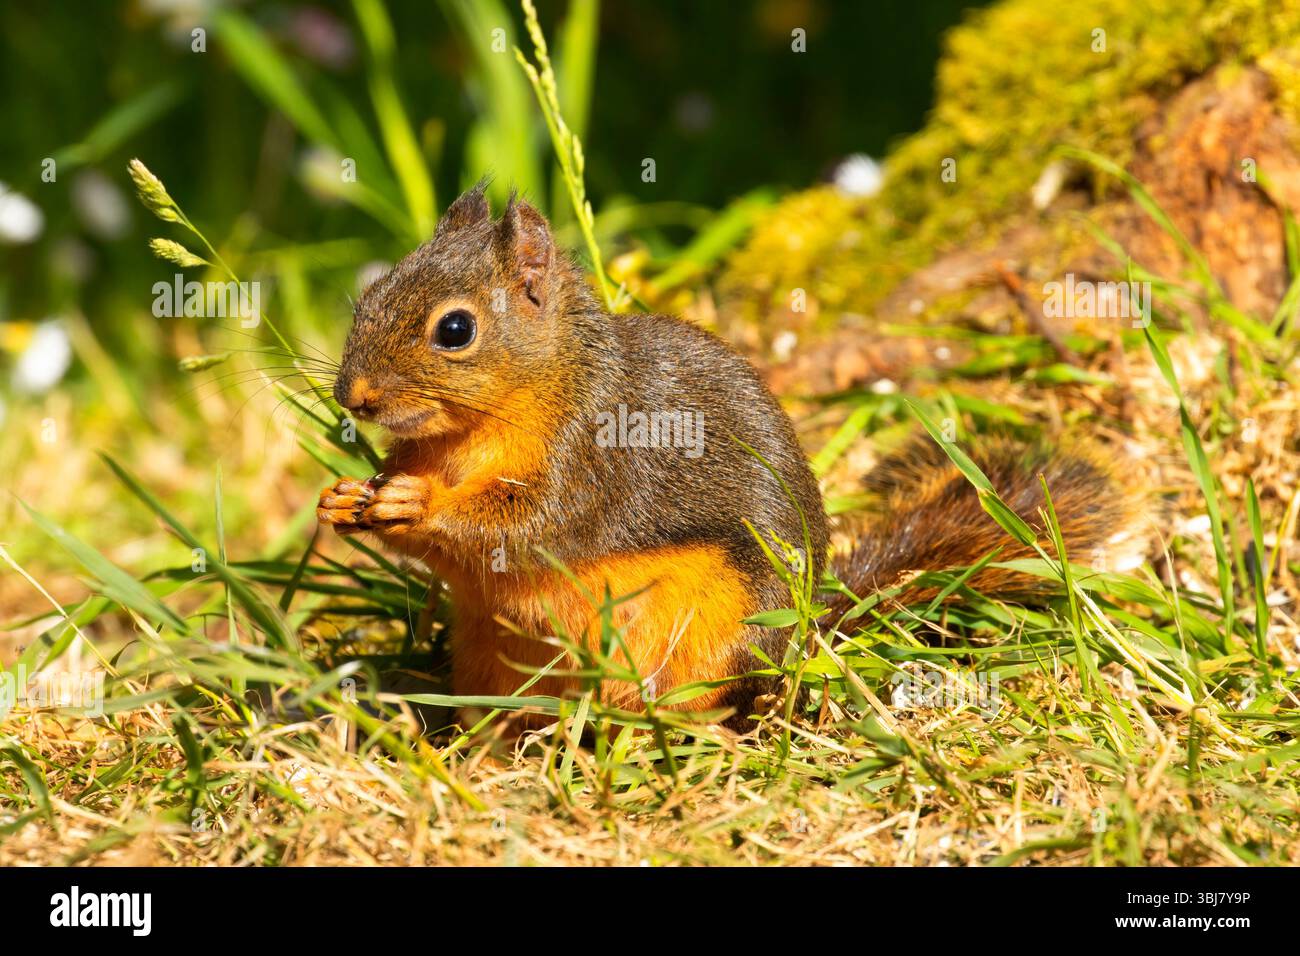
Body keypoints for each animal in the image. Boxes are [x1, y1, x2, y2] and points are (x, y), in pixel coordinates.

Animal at [317, 183, 1144, 730]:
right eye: (370, 296)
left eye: (454, 330)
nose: (351, 396)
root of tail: (810, 626)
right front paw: (351, 497)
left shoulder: (589, 463)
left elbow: (518, 527)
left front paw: (412, 503)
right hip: (488, 653)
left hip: (715, 636)